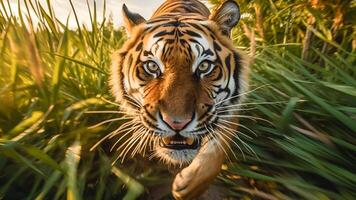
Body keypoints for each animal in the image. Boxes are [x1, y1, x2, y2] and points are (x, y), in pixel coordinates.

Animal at [110, 0, 250, 199]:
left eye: (204, 66)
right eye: (152, 66)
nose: (176, 123)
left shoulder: (228, 110)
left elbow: (216, 151)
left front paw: (188, 187)